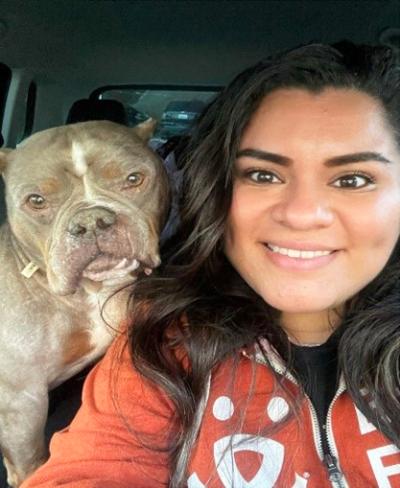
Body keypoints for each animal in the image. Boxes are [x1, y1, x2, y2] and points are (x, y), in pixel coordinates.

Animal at [0, 120, 169, 486]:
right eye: (36, 200)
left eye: (133, 178)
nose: (92, 221)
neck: (91, 293)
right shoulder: (21, 402)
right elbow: (30, 461)